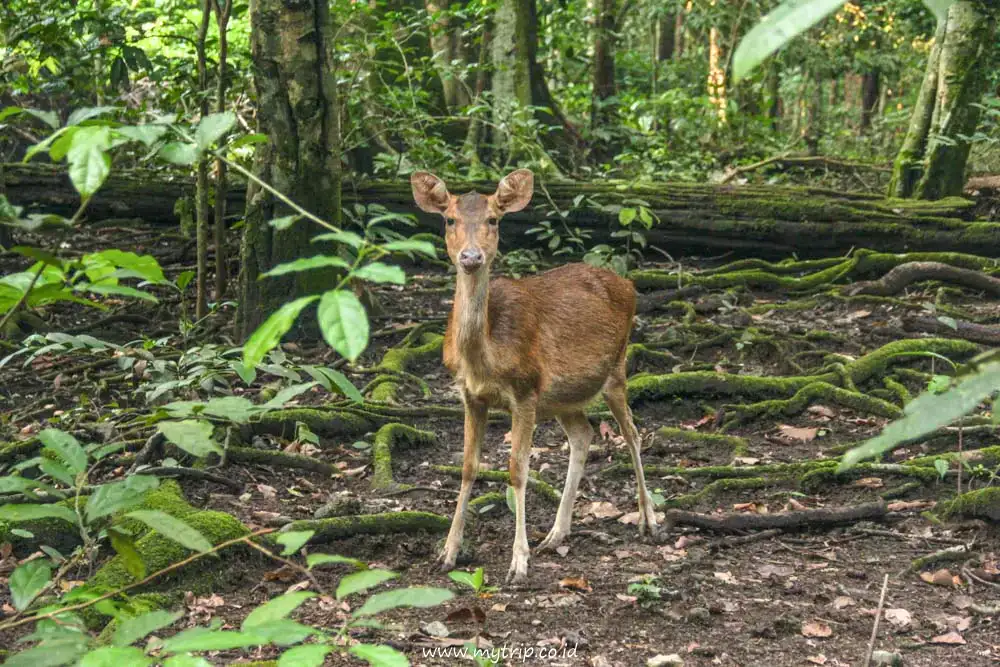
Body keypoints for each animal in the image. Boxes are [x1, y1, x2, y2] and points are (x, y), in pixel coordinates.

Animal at [410, 169, 658, 584]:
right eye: (449, 220)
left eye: (494, 219)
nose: (471, 256)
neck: (485, 358)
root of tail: (628, 284)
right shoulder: (469, 394)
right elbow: (467, 467)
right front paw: (447, 552)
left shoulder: (525, 390)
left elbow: (518, 471)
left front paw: (518, 562)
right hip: (562, 397)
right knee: (583, 434)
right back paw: (557, 533)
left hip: (617, 367)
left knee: (633, 433)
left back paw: (648, 519)